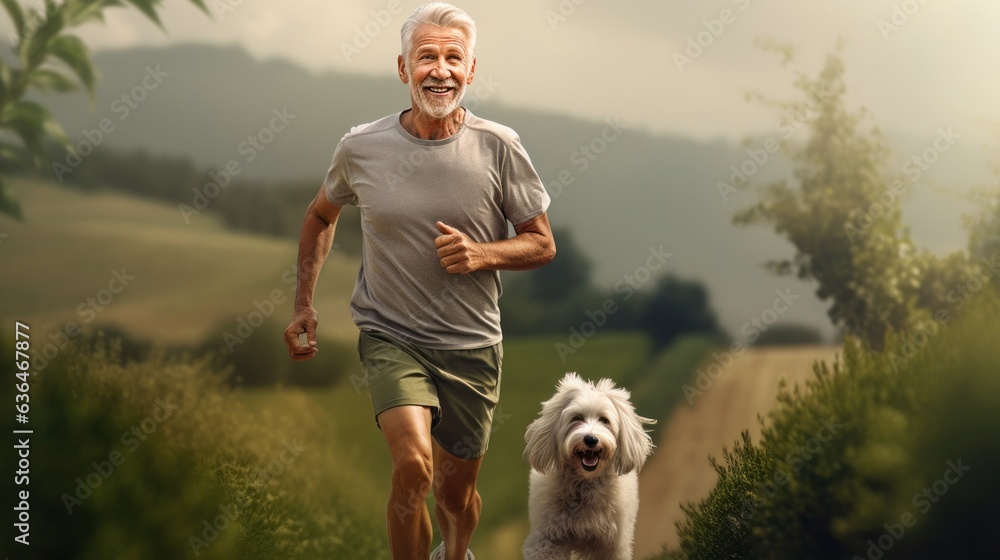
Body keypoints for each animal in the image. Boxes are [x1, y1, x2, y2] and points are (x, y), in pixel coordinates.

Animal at [524, 372, 656, 560]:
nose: (591, 439)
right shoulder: (548, 539)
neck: (585, 482)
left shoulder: (611, 546)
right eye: (576, 418)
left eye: (604, 420)